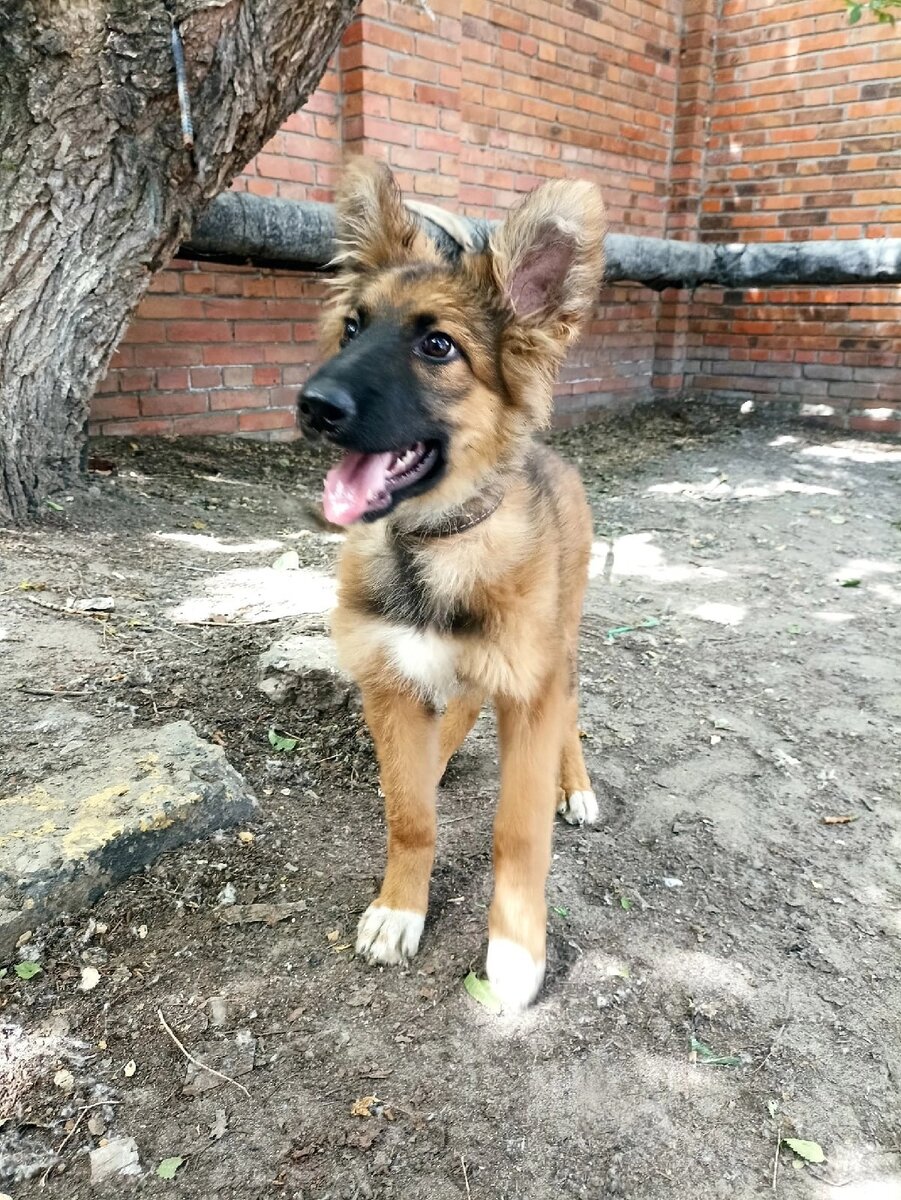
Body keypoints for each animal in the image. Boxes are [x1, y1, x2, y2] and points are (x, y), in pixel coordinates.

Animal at [301, 154, 607, 1008]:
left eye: (438, 345)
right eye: (351, 328)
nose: (311, 405)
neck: (432, 547)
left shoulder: (530, 688)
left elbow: (518, 830)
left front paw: (514, 950)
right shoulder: (390, 679)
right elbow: (410, 816)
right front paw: (399, 909)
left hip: (561, 642)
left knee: (570, 712)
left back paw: (576, 785)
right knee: (460, 706)